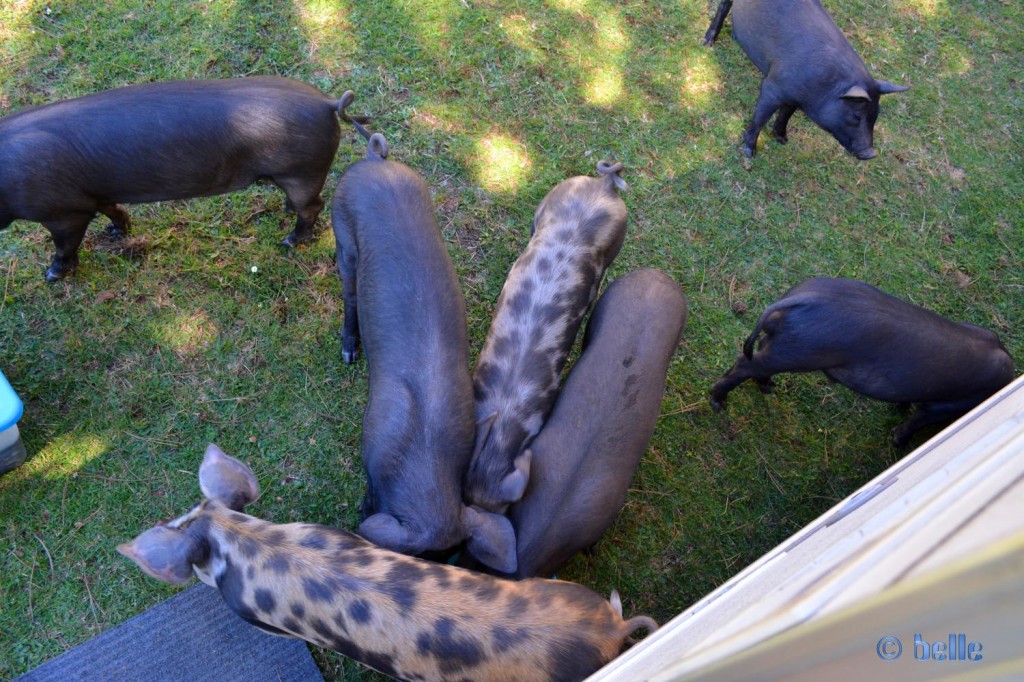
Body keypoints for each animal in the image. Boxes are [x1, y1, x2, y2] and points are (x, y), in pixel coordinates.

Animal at [700, 0, 909, 157]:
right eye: (856, 115)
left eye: (876, 115)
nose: (871, 153)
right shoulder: (773, 86)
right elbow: (761, 116)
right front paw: (749, 153)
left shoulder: (795, 97)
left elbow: (786, 114)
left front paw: (783, 140)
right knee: (724, 5)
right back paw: (707, 43)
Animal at [712, 276, 1015, 446]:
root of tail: (807, 298)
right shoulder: (944, 405)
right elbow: (918, 419)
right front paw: (897, 442)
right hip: (798, 352)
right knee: (745, 364)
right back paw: (718, 403)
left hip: (783, 345)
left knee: (756, 357)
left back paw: (768, 388)